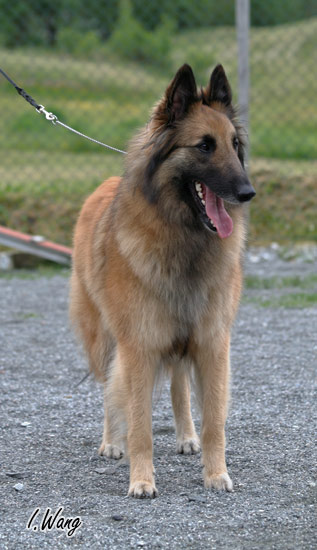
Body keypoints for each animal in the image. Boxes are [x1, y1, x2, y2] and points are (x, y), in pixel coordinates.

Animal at [69, 64, 254, 500]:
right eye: (204, 146)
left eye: (234, 144)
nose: (247, 192)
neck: (182, 239)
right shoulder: (139, 346)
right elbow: (140, 423)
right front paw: (141, 479)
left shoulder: (211, 342)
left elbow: (214, 421)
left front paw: (216, 473)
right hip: (106, 340)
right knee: (110, 389)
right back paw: (112, 443)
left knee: (178, 386)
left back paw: (186, 436)